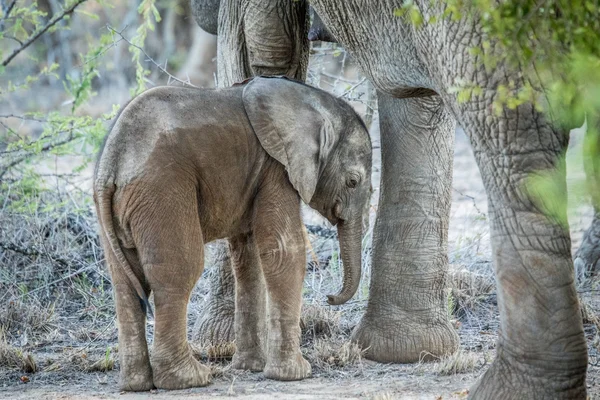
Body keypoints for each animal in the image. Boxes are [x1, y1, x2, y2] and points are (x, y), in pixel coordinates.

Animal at [95, 76, 370, 390]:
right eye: (353, 181)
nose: (330, 298)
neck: (312, 101)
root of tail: (112, 164)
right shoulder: (277, 169)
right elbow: (284, 251)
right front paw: (296, 373)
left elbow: (248, 258)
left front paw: (252, 368)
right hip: (161, 190)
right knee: (179, 272)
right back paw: (191, 378)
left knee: (125, 283)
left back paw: (136, 384)